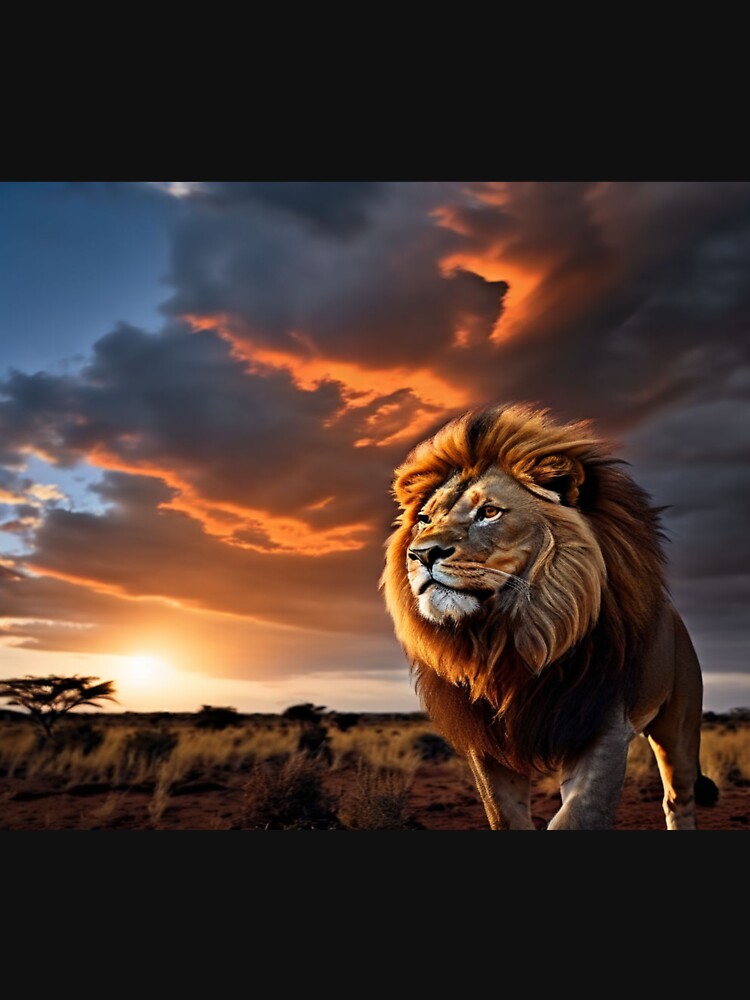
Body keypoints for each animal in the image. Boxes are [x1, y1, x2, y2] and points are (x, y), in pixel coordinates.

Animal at [381, 402, 719, 830]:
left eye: (489, 512)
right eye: (424, 519)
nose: (422, 554)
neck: (514, 634)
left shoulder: (604, 727)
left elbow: (577, 816)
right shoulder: (488, 743)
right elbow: (506, 816)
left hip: (679, 726)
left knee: (678, 798)